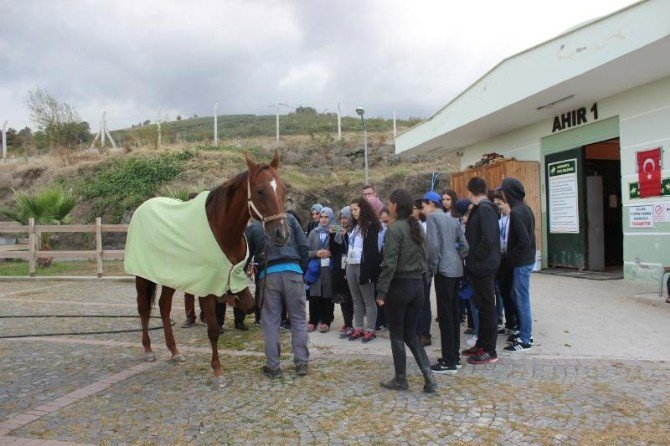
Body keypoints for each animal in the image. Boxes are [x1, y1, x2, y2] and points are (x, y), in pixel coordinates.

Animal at [124, 151, 290, 386]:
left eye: (283, 189)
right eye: (260, 190)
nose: (282, 234)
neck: (223, 231)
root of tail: (144, 206)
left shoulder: (235, 277)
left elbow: (248, 305)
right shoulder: (206, 286)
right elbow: (213, 329)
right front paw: (217, 372)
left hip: (170, 276)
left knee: (164, 306)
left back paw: (174, 351)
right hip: (143, 275)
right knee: (143, 308)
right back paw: (148, 350)